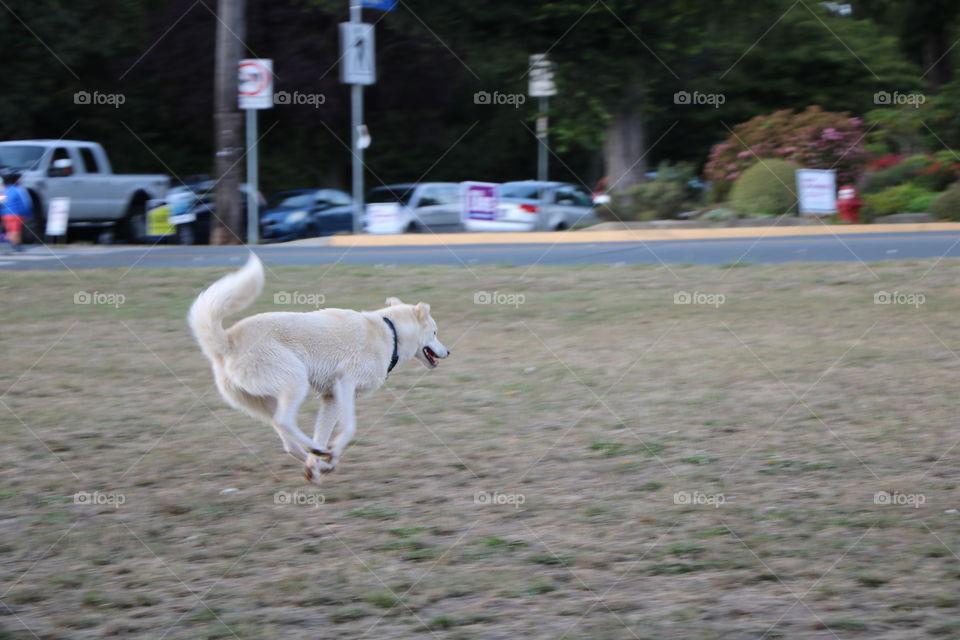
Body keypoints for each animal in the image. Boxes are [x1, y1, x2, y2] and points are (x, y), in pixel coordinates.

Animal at [191, 252, 454, 482]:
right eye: (435, 332)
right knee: (285, 422)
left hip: (266, 401)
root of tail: (227, 341)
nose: (448, 351)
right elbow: (349, 428)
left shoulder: (331, 397)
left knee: (286, 437)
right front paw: (329, 455)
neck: (390, 332)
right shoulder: (345, 384)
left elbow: (324, 431)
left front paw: (320, 465)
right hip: (295, 381)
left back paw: (315, 457)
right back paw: (318, 452)